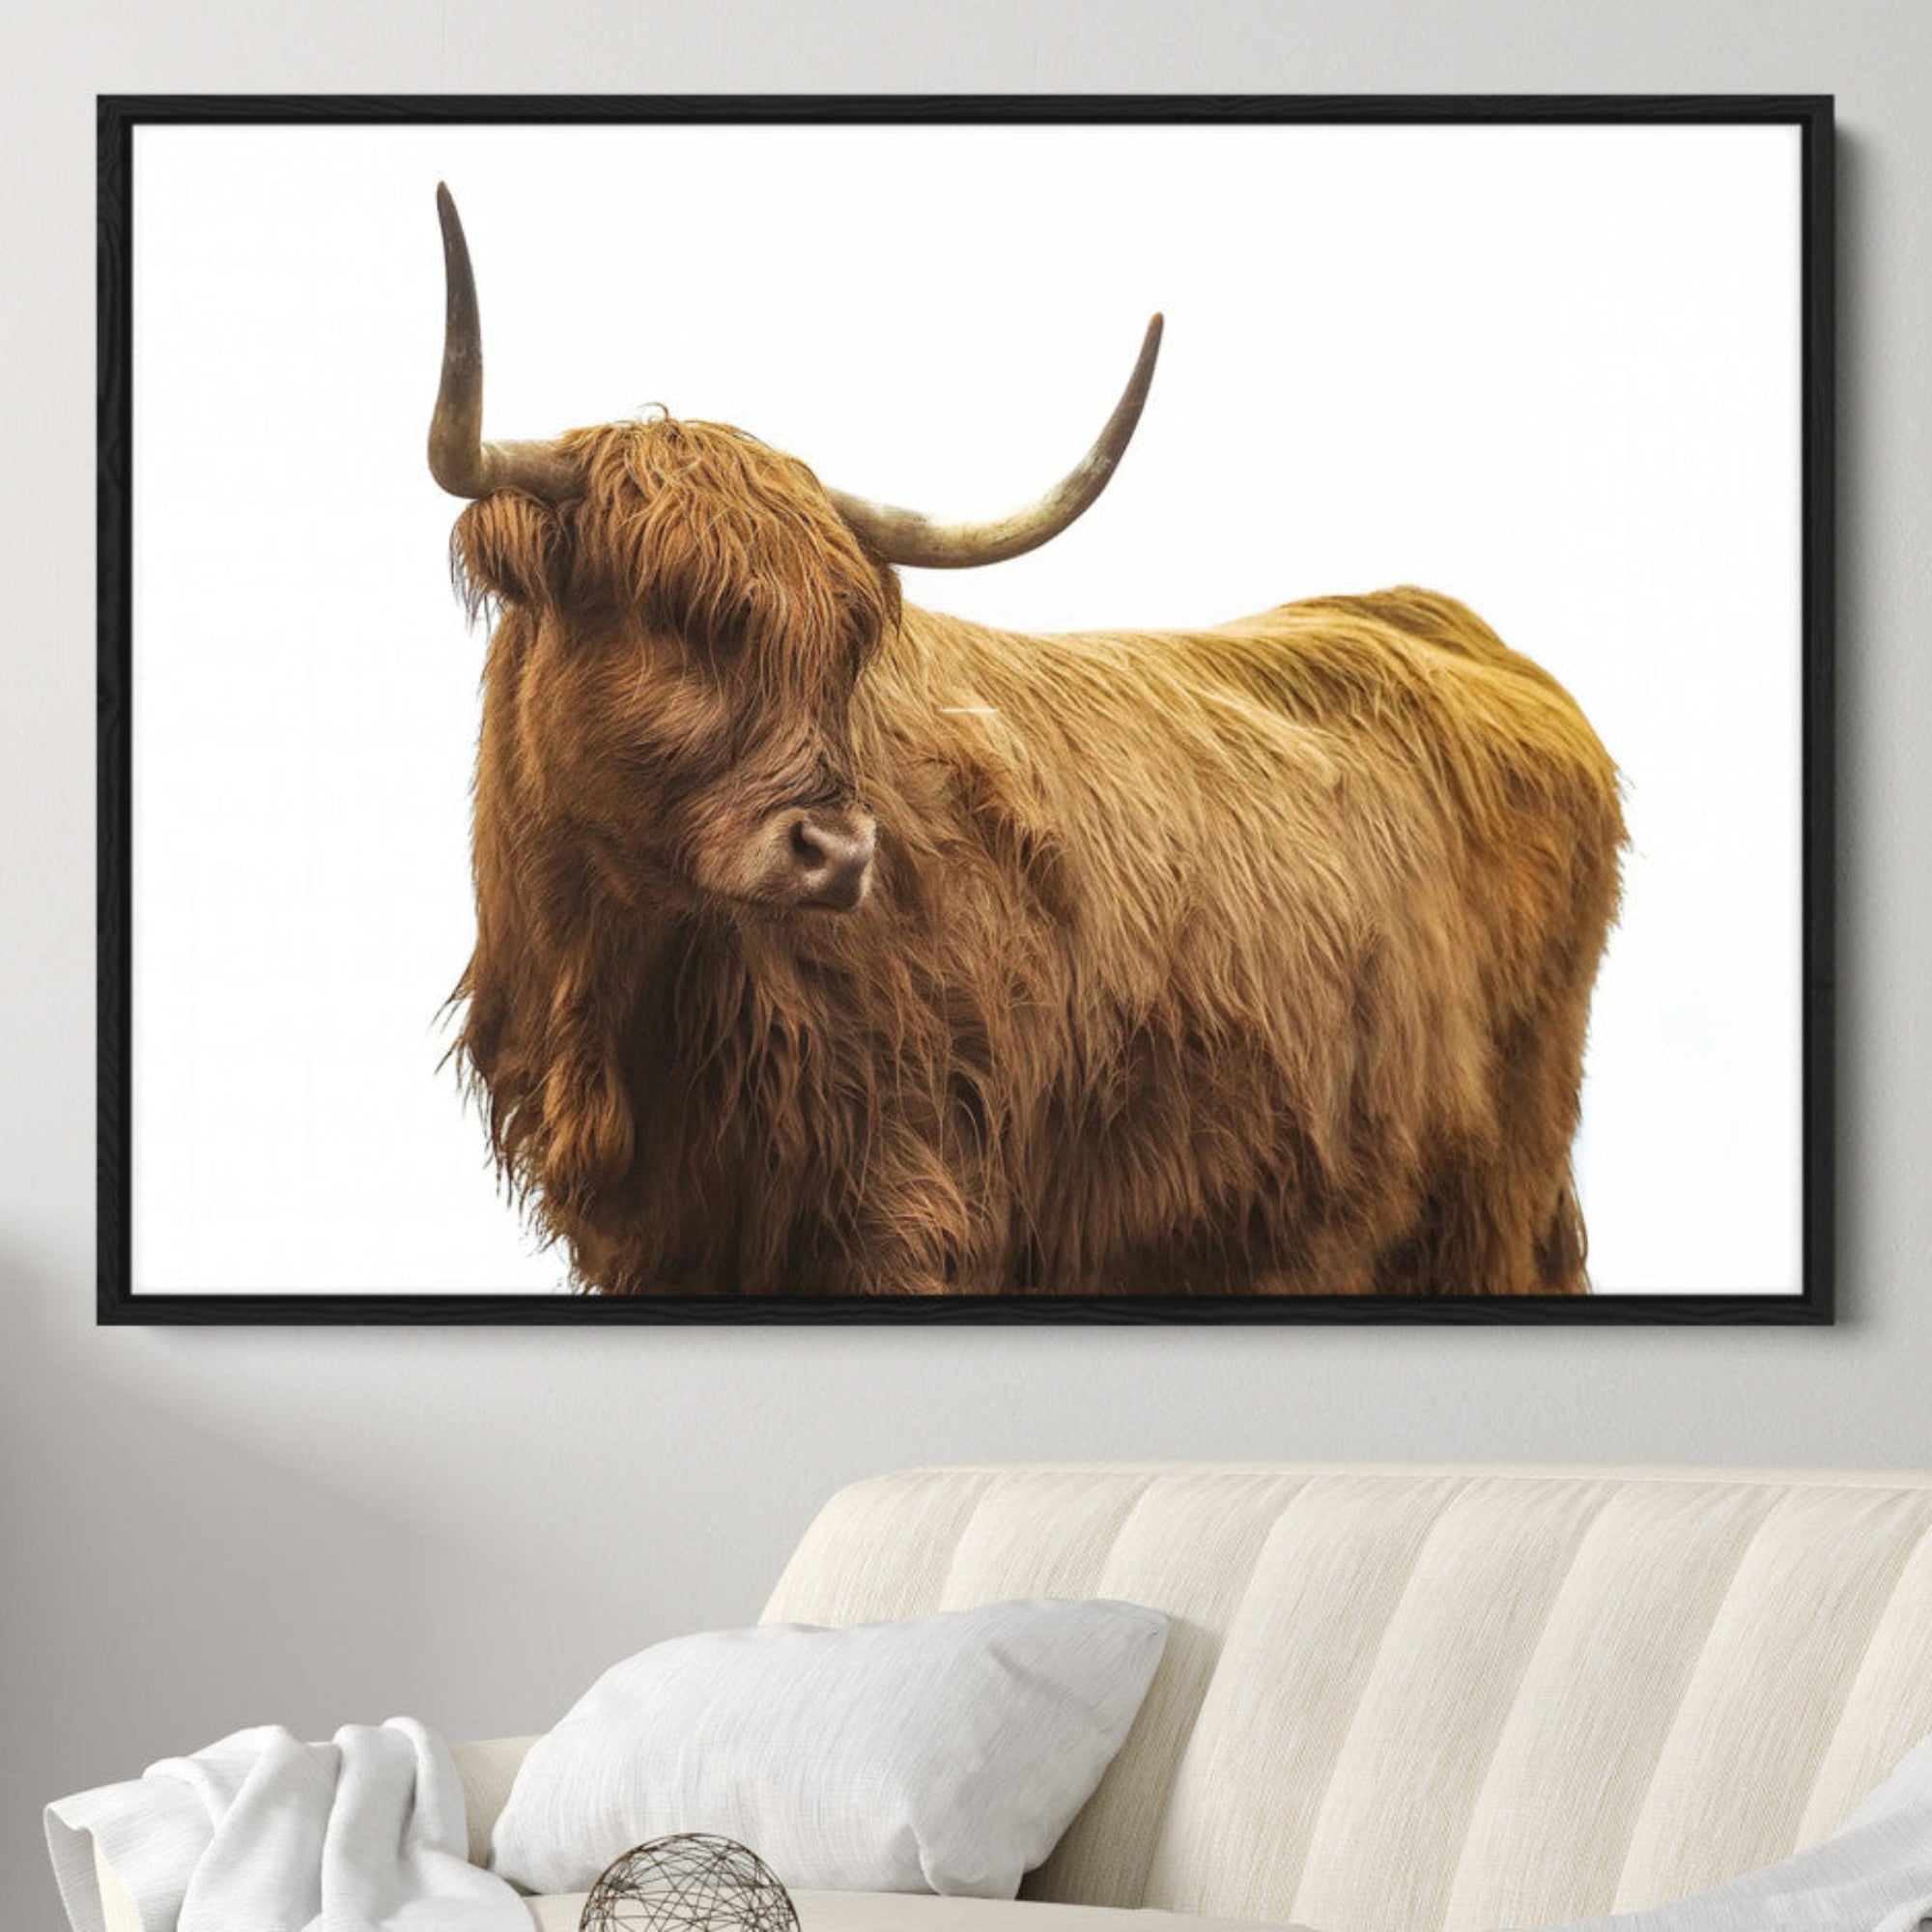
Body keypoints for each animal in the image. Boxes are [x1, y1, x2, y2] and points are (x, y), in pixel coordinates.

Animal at [427, 185, 1624, 1299]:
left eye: (846, 647)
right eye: (671, 616)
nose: (839, 852)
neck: (624, 992)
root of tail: (1437, 622)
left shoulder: (907, 1198)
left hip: (1491, 1191)